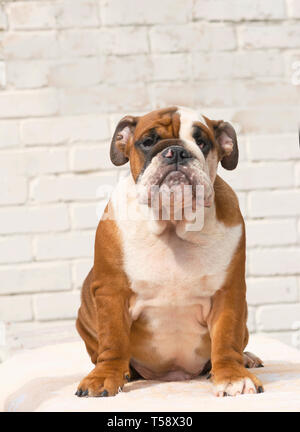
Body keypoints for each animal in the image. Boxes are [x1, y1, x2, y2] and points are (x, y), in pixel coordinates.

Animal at [75, 106, 264, 396]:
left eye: (202, 142)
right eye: (148, 141)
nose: (176, 151)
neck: (173, 223)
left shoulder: (228, 294)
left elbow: (225, 339)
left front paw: (233, 376)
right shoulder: (111, 291)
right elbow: (114, 339)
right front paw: (104, 376)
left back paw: (246, 358)